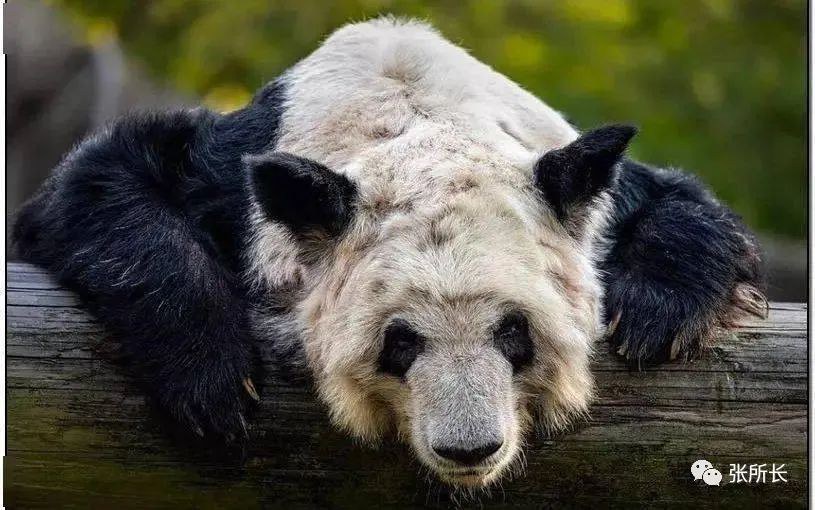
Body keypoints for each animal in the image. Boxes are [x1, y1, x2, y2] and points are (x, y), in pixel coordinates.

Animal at [13, 18, 766, 488]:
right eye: (399, 342)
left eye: (513, 332)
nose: (469, 448)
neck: (412, 110)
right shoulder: (232, 178)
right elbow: (95, 188)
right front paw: (212, 378)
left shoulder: (567, 161)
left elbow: (680, 204)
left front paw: (655, 315)